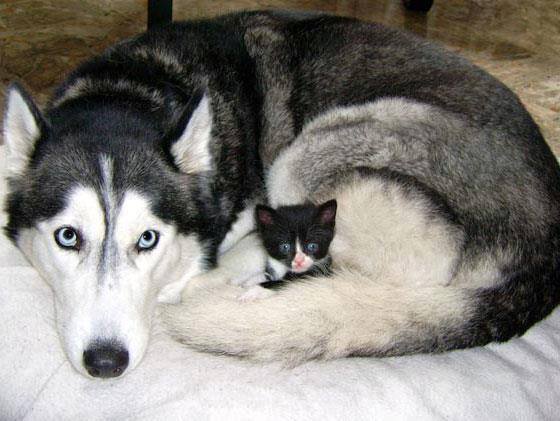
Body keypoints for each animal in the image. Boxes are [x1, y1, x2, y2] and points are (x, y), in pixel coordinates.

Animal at [4, 10, 560, 378]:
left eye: (147, 239)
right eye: (67, 237)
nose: (105, 362)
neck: (134, 89)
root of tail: (547, 258)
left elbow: (208, 270)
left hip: (308, 153)